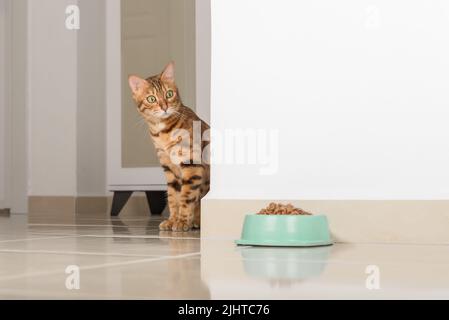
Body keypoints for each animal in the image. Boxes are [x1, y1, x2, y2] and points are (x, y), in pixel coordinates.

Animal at [127, 63, 209, 232]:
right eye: (151, 98)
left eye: (169, 94)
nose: (164, 107)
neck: (163, 132)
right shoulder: (169, 168)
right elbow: (173, 197)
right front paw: (172, 220)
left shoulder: (191, 164)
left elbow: (186, 196)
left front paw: (183, 222)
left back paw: (196, 221)